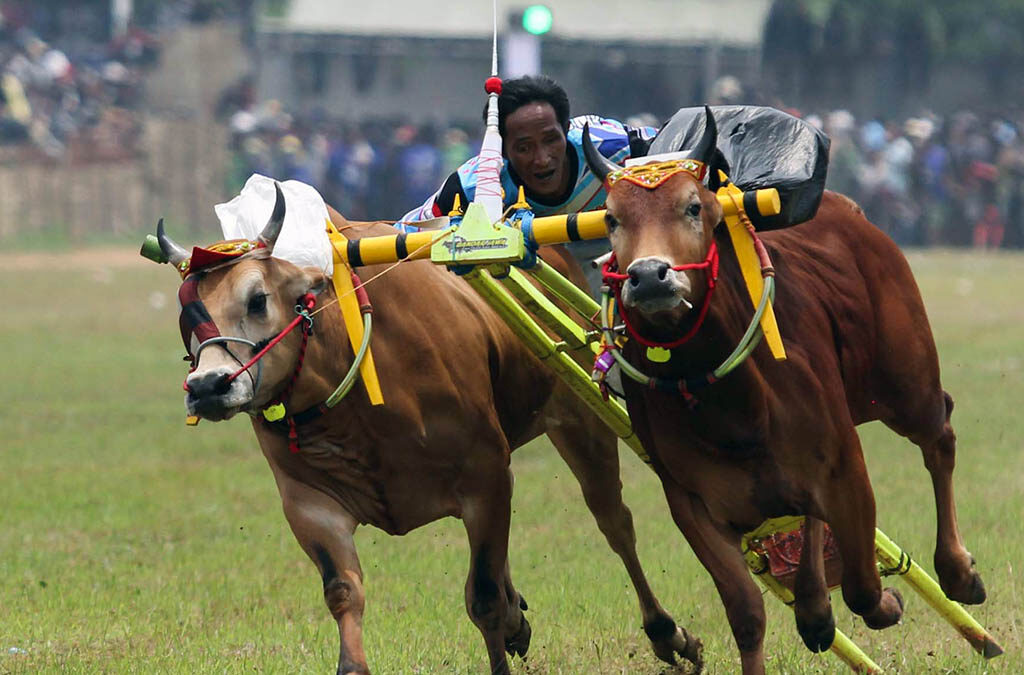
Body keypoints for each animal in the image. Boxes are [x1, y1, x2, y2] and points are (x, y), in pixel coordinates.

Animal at [153, 190, 704, 675]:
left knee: (615, 523)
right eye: (187, 312)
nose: (208, 386)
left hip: (579, 417)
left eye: (258, 298)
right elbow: (343, 592)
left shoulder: (487, 475)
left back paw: (667, 635)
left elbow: (483, 596)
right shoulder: (310, 504)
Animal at [585, 112, 983, 675]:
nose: (648, 277)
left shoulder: (845, 469)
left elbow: (863, 588)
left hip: (907, 384)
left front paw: (890, 601)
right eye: (612, 218)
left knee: (939, 435)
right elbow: (747, 614)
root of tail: (852, 211)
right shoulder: (691, 501)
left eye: (693, 206)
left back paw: (957, 572)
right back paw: (815, 606)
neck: (731, 406)